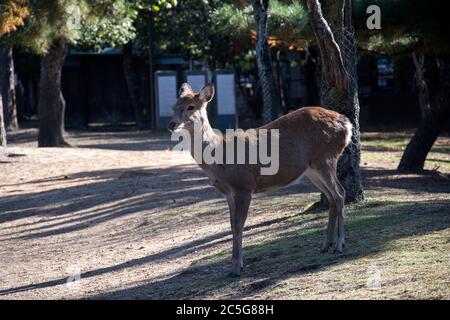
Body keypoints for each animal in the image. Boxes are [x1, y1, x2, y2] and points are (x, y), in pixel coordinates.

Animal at [169, 83, 352, 278]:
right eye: (173, 107)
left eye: (191, 107)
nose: (171, 124)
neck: (220, 158)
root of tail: (346, 124)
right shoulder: (228, 192)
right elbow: (231, 225)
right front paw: (234, 266)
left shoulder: (244, 185)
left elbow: (239, 225)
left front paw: (236, 268)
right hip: (312, 169)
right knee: (332, 198)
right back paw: (325, 245)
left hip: (326, 158)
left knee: (340, 193)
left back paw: (339, 245)